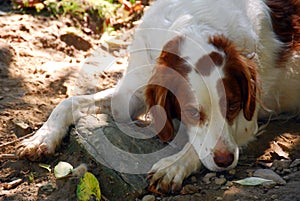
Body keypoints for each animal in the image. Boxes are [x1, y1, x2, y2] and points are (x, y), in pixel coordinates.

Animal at [17, 0, 300, 192]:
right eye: (192, 112)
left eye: (233, 106)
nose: (225, 161)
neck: (191, 25)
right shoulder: (131, 93)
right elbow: (68, 102)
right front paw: (41, 137)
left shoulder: (248, 117)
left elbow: (196, 147)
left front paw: (173, 165)